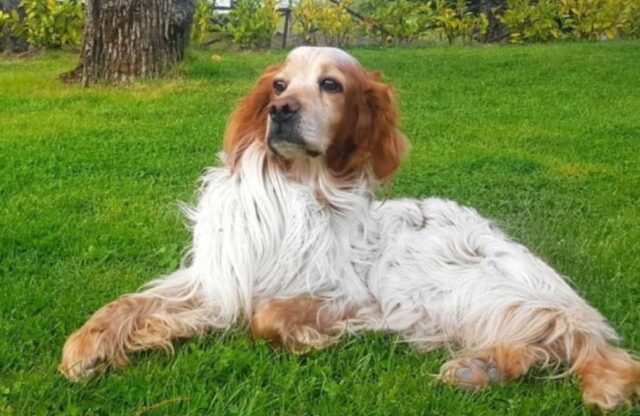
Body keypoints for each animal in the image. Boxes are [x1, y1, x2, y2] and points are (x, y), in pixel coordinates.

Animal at [57, 47, 636, 412]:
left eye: (330, 84)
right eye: (279, 84)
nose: (279, 110)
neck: (294, 191)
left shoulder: (354, 294)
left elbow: (266, 317)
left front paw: (312, 340)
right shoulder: (219, 281)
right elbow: (127, 304)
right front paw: (86, 346)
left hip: (460, 284)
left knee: (581, 339)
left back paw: (602, 385)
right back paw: (482, 368)